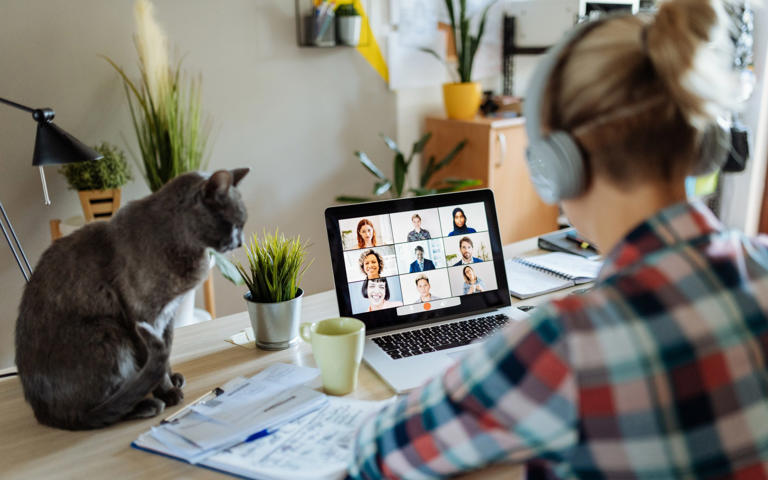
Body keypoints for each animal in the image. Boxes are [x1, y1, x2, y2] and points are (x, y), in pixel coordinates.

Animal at [14, 169, 249, 432]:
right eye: (234, 224)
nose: (241, 242)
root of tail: (44, 414)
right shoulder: (143, 315)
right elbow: (155, 355)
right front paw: (168, 392)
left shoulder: (167, 317)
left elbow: (166, 350)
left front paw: (172, 377)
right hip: (108, 331)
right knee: (94, 413)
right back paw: (146, 404)